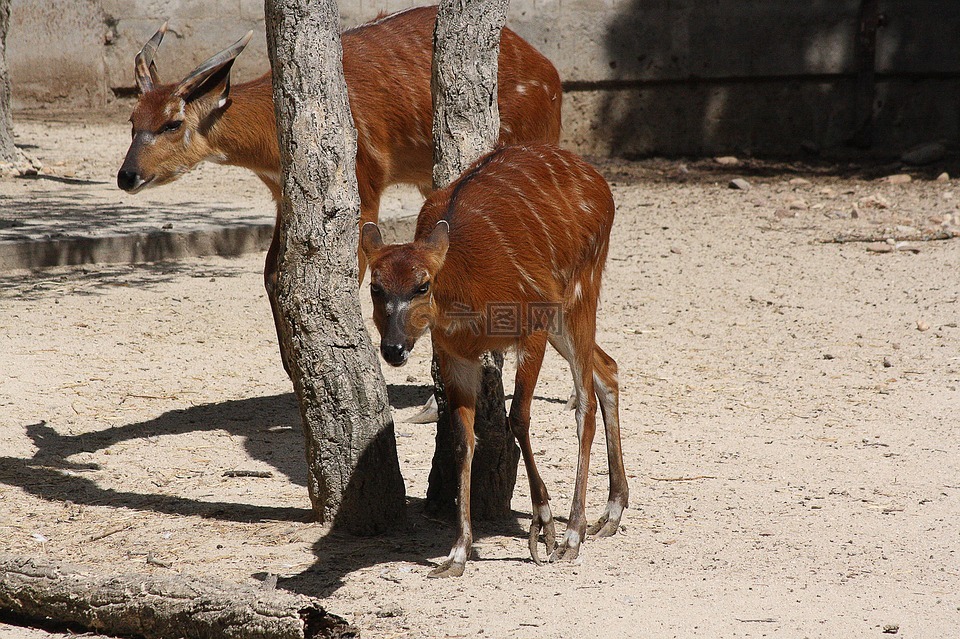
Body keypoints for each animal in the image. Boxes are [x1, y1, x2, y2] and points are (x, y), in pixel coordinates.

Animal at [118, 6, 564, 376]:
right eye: (133, 120)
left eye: (172, 123)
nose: (127, 176)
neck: (272, 142)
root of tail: (553, 77)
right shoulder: (284, 196)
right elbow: (273, 272)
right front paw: (292, 367)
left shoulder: (363, 186)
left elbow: (351, 271)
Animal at [360, 145, 632, 580]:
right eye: (375, 287)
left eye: (422, 285)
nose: (394, 349)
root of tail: (600, 182)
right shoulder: (455, 353)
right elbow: (462, 437)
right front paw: (456, 554)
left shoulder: (531, 321)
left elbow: (517, 417)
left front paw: (544, 527)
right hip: (563, 314)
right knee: (608, 369)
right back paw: (611, 513)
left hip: (579, 290)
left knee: (585, 401)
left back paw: (574, 534)